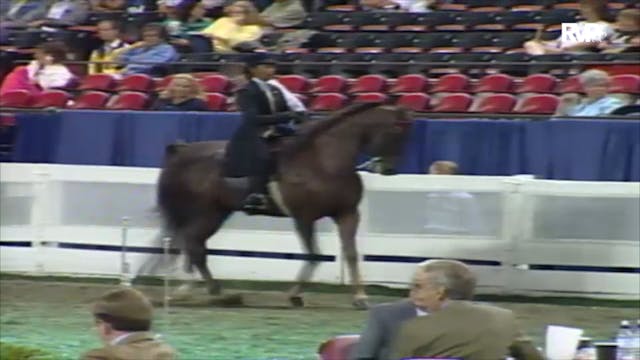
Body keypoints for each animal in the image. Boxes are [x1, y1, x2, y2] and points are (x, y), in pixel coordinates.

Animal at [153, 102, 412, 310]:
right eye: (396, 131)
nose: (389, 169)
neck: (324, 162)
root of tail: (183, 151)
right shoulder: (304, 217)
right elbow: (314, 255)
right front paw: (295, 295)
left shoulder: (347, 214)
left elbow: (351, 254)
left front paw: (360, 298)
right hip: (204, 211)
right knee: (193, 245)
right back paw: (213, 292)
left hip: (216, 212)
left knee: (194, 243)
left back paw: (202, 290)